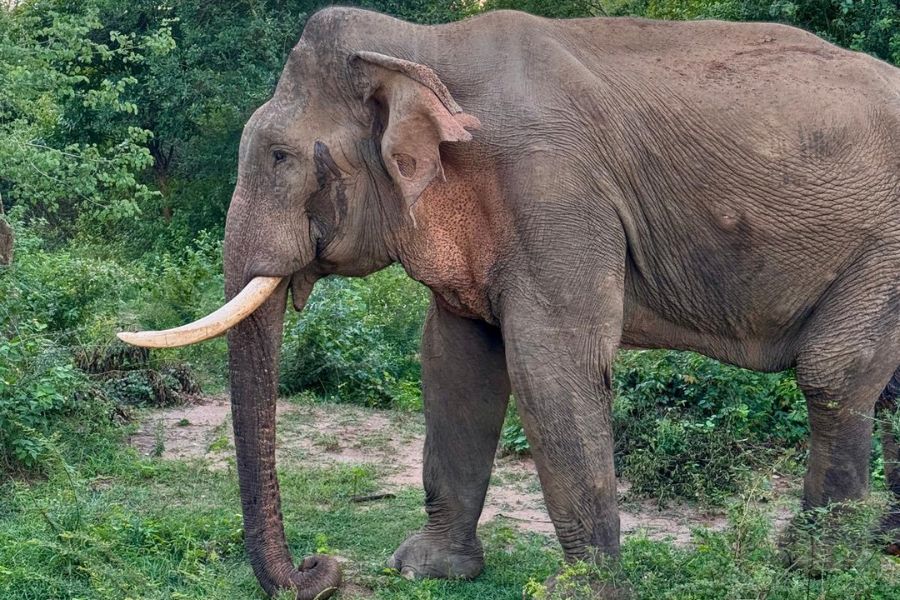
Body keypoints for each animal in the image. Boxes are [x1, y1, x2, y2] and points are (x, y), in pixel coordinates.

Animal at [119, 8, 900, 600]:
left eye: (280, 157)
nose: (322, 568)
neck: (424, 47)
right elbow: (455, 361)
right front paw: (426, 570)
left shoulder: (554, 191)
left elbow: (549, 363)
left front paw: (577, 593)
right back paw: (882, 546)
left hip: (886, 245)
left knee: (832, 373)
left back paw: (813, 566)